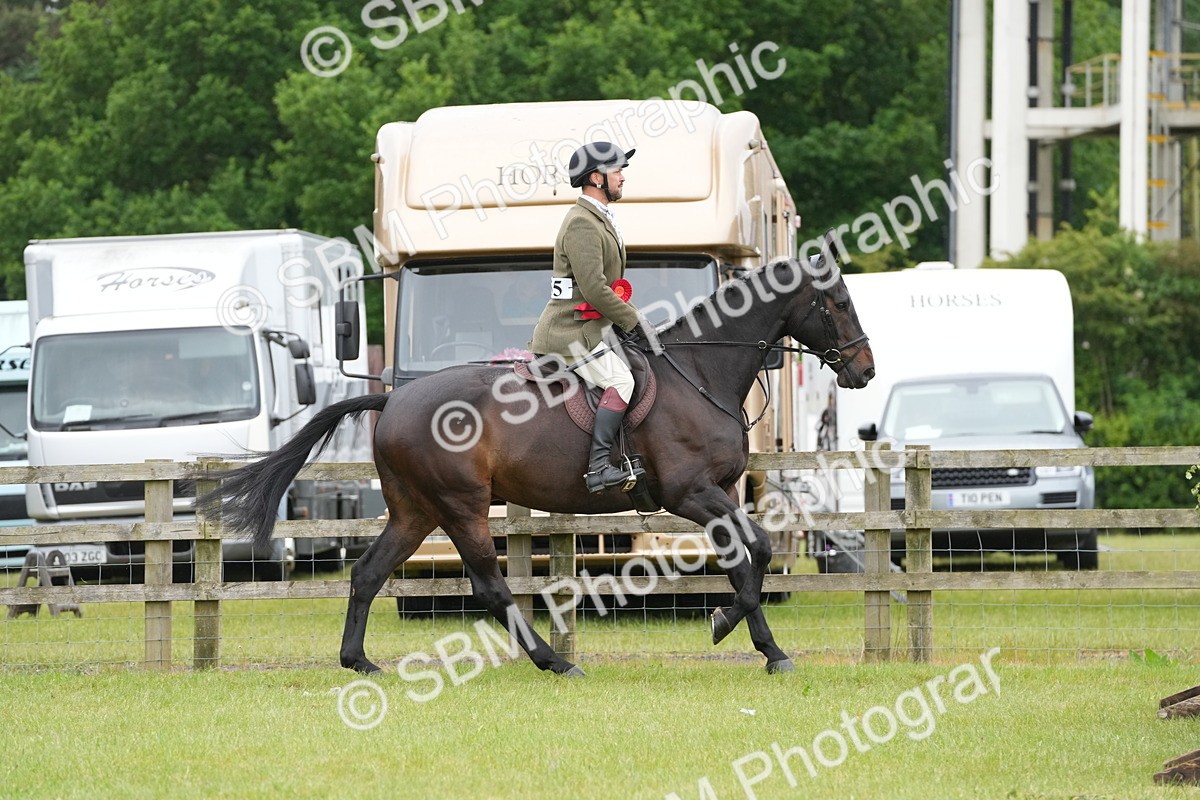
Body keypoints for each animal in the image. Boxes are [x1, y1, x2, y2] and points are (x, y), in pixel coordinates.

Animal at [199, 252, 875, 676]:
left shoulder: (718, 495)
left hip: (416, 511)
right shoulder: (691, 493)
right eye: (838, 301)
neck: (700, 371)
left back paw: (359, 661)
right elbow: (754, 551)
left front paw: (759, 643)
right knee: (490, 586)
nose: (864, 371)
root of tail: (392, 399)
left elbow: (747, 557)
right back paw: (557, 662)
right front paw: (731, 625)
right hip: (461, 506)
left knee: (367, 574)